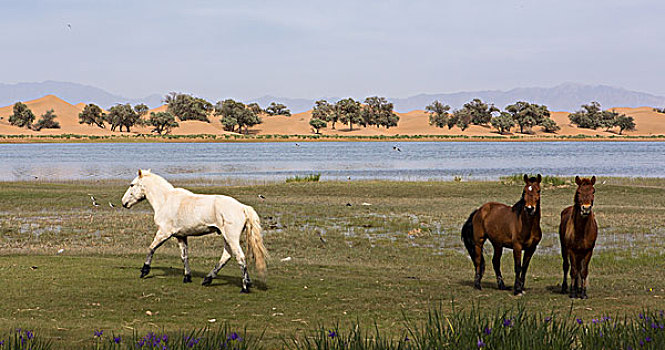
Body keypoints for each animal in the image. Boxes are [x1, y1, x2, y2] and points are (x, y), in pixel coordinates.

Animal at [119, 170, 268, 292]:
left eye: (132, 185)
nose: (123, 202)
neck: (166, 201)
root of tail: (242, 207)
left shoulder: (164, 233)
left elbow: (151, 248)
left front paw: (144, 271)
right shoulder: (181, 236)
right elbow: (184, 256)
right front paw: (187, 277)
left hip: (231, 237)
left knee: (240, 257)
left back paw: (244, 287)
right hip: (227, 238)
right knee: (227, 256)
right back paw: (209, 279)